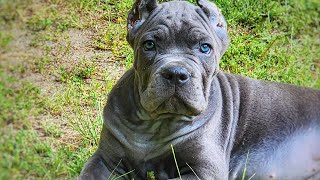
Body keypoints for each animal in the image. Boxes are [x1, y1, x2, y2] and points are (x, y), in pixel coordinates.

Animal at [78, 0, 320, 179]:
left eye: (205, 48)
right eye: (149, 45)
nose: (176, 73)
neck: (156, 125)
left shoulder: (204, 169)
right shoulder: (105, 160)